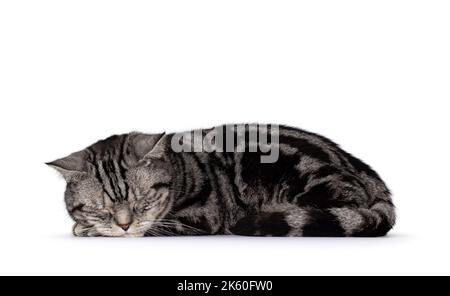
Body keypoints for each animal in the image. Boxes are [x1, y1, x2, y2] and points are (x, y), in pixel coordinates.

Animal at [47, 123, 396, 237]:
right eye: (100, 208)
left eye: (143, 201)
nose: (123, 225)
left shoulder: (199, 217)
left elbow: (155, 228)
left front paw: (88, 230)